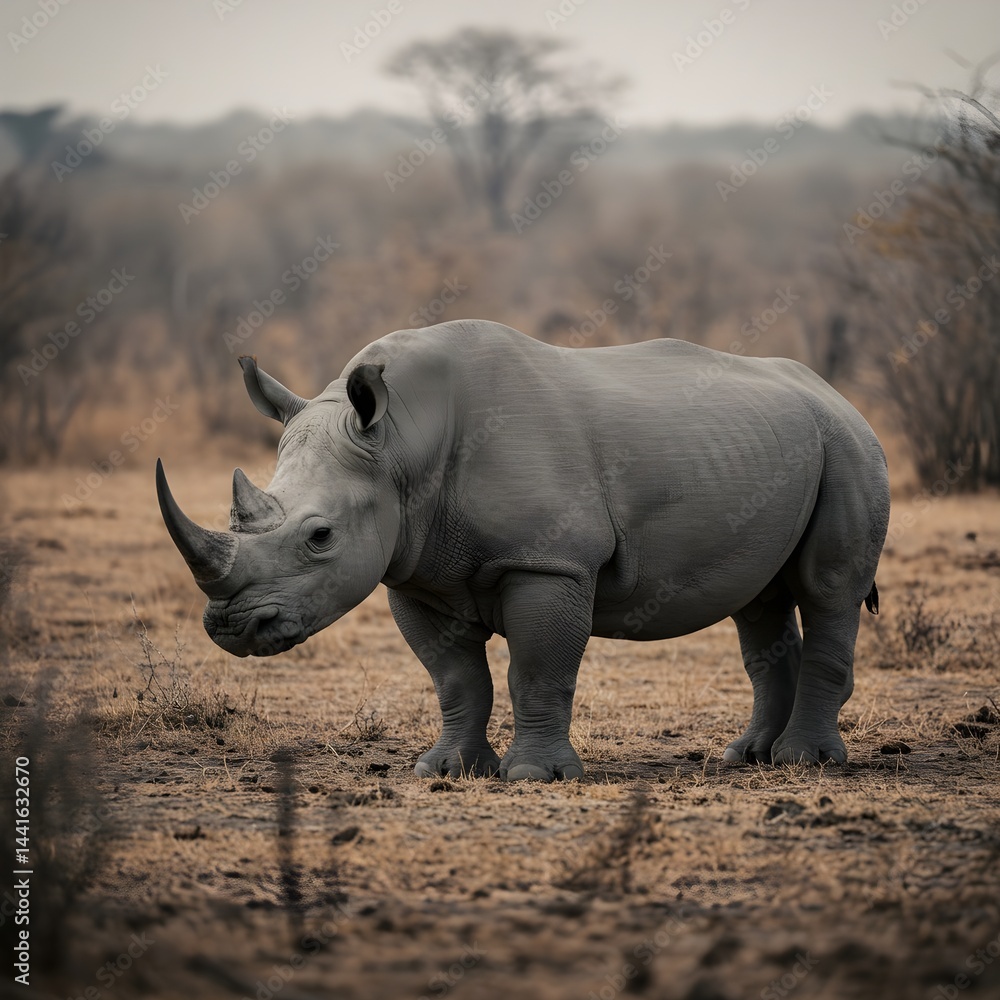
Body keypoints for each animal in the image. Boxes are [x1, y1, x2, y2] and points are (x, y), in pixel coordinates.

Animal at [157, 320, 890, 780]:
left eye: (320, 537)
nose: (230, 627)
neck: (399, 442)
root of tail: (834, 393)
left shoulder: (548, 561)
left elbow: (537, 669)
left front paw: (536, 775)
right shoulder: (415, 570)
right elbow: (455, 677)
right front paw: (446, 769)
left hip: (849, 445)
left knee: (829, 591)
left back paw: (804, 762)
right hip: (783, 444)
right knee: (760, 603)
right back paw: (749, 756)